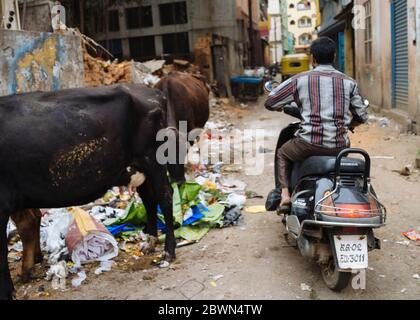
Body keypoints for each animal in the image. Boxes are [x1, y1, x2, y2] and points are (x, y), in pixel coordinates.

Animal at [0, 84, 176, 298]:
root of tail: (153, 92)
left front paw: (7, 290)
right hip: (137, 167)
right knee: (149, 199)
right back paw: (150, 242)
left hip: (153, 160)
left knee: (165, 197)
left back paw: (168, 253)